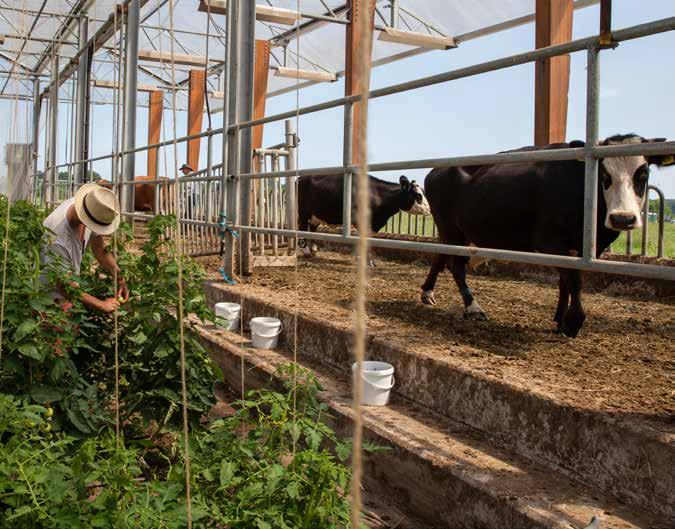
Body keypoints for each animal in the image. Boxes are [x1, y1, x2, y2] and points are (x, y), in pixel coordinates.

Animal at [298, 174, 430, 260]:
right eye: (418, 196)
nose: (429, 209)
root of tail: (301, 178)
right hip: (303, 213)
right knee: (302, 228)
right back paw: (306, 252)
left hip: (315, 215)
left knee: (313, 229)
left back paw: (313, 250)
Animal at [422, 134, 672, 336]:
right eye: (604, 173)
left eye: (643, 172)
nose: (623, 218)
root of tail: (436, 170)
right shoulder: (549, 241)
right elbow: (573, 278)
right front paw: (573, 321)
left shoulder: (585, 246)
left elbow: (566, 279)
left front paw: (560, 318)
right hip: (451, 229)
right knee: (456, 265)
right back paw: (473, 308)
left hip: (454, 232)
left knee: (440, 256)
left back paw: (428, 292)